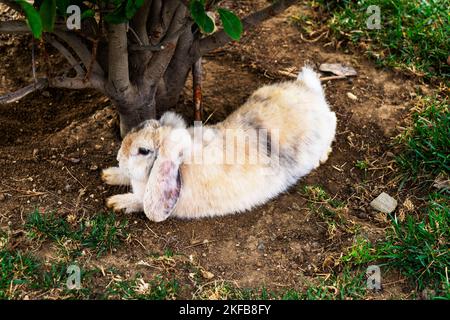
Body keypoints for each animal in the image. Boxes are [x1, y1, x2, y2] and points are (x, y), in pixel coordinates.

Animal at [101, 66, 334, 221]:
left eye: (143, 151)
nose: (119, 158)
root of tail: (309, 90)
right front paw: (109, 174)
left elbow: (140, 202)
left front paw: (117, 202)